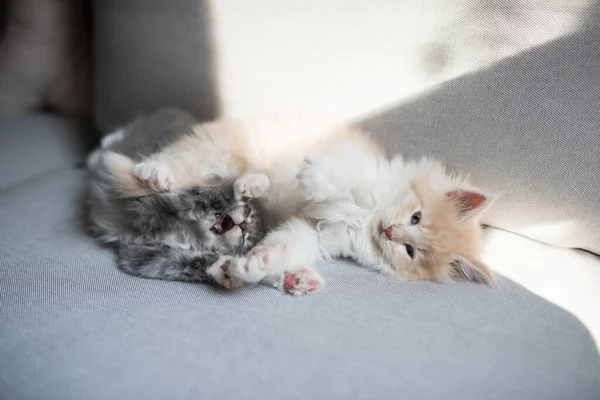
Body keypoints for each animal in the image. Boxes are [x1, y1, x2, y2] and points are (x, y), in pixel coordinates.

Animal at [86, 109, 268, 290]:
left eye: (246, 239)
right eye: (248, 210)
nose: (244, 225)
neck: (185, 230)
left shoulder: (137, 255)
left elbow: (187, 263)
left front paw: (224, 269)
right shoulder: (144, 205)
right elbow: (198, 198)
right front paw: (250, 186)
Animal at [102, 115, 492, 294]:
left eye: (410, 251)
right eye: (416, 216)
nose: (390, 230)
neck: (367, 219)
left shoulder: (313, 232)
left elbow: (282, 247)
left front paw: (258, 264)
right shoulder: (355, 166)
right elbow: (339, 182)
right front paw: (310, 177)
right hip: (217, 153)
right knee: (178, 162)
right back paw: (156, 172)